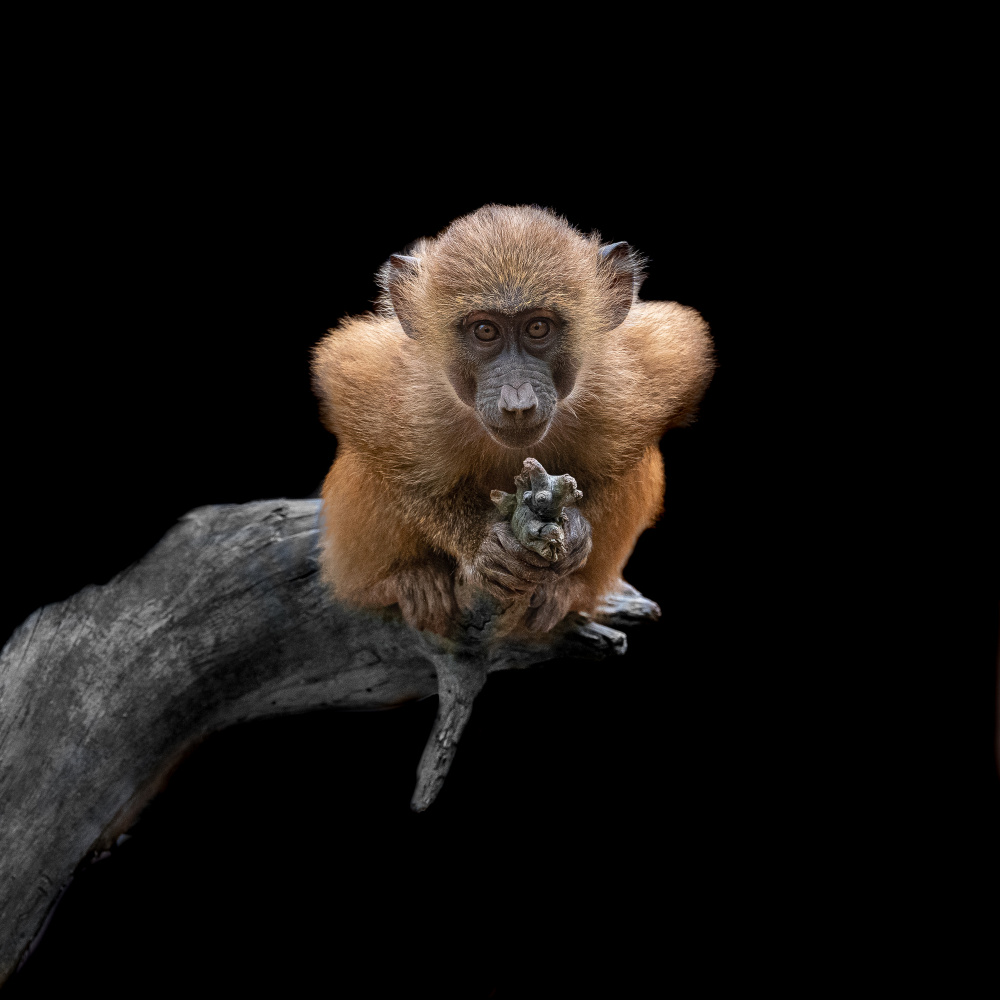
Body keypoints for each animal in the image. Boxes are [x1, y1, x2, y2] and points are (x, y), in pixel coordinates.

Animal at [311, 205, 715, 636]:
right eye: (485, 330)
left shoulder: (633, 374)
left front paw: (577, 532)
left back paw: (566, 592)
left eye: (537, 327)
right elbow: (353, 395)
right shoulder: (405, 389)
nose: (517, 401)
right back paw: (402, 581)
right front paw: (481, 544)